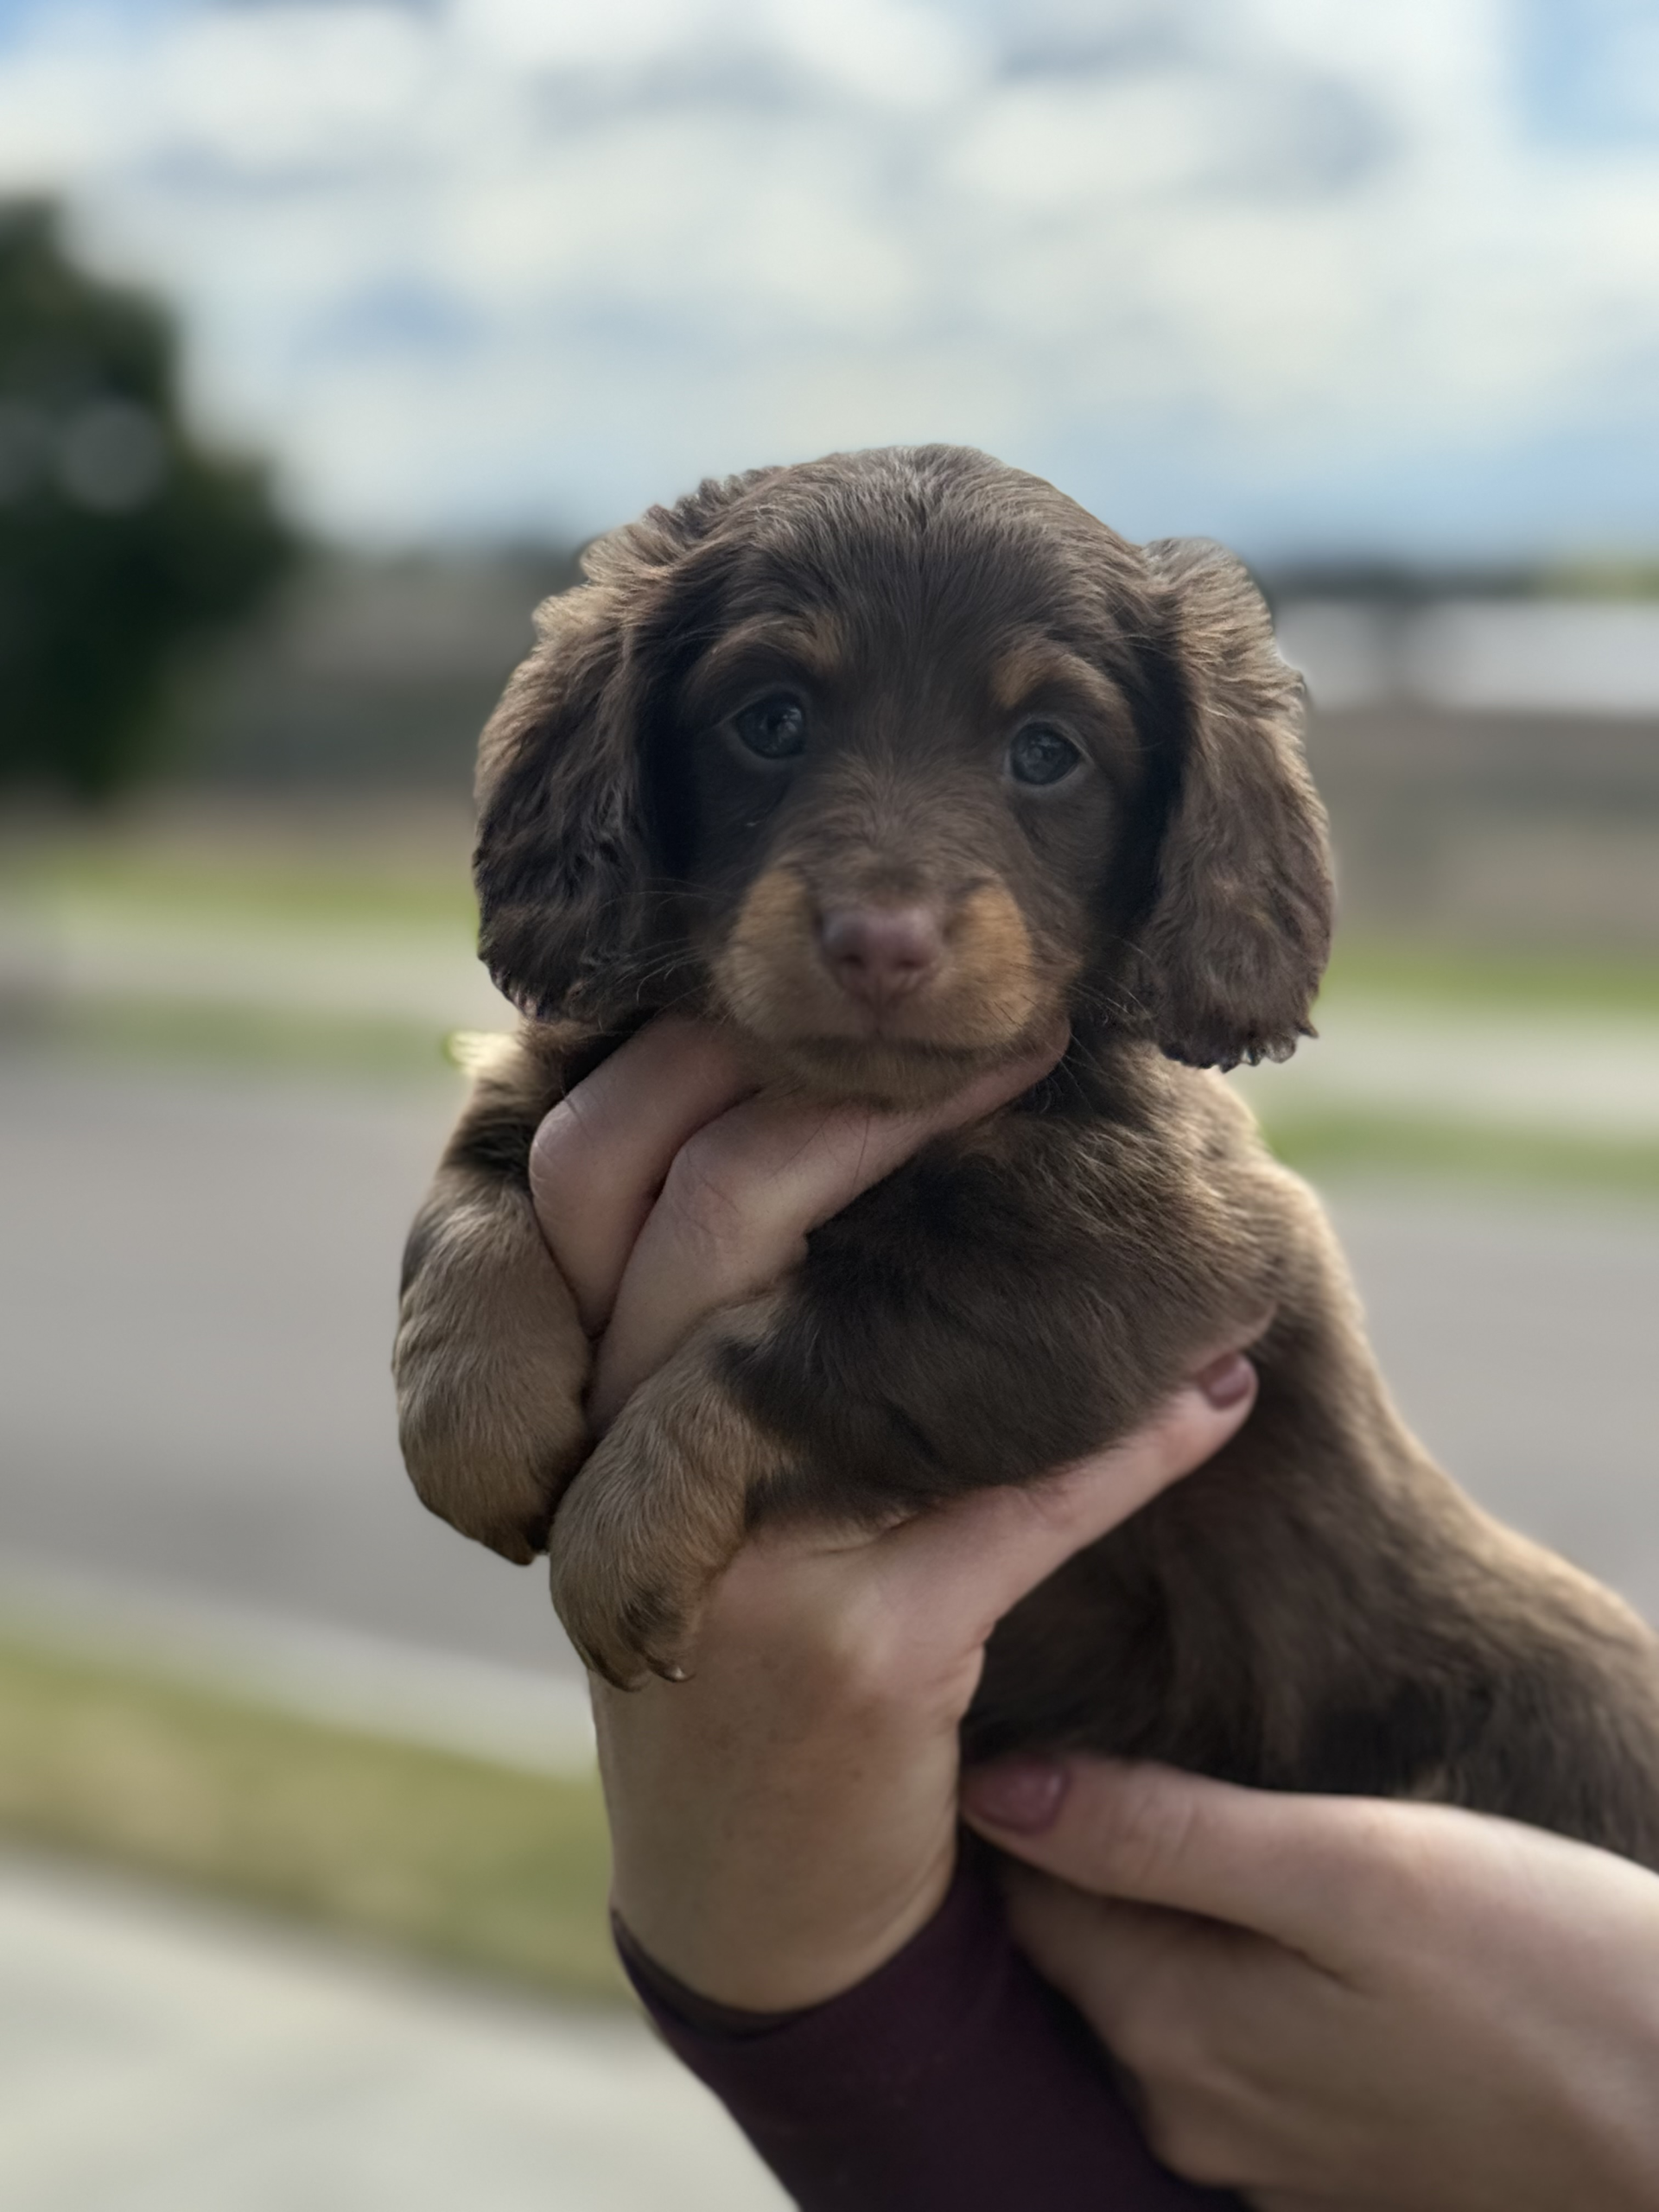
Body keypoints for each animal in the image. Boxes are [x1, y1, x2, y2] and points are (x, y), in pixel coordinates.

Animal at [395, 444, 1659, 1865]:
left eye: (1047, 752)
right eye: (770, 721)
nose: (881, 942)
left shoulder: (1145, 1262)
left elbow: (786, 1344)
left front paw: (621, 1527)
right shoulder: (563, 1072)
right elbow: (474, 1202)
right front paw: (471, 1423)